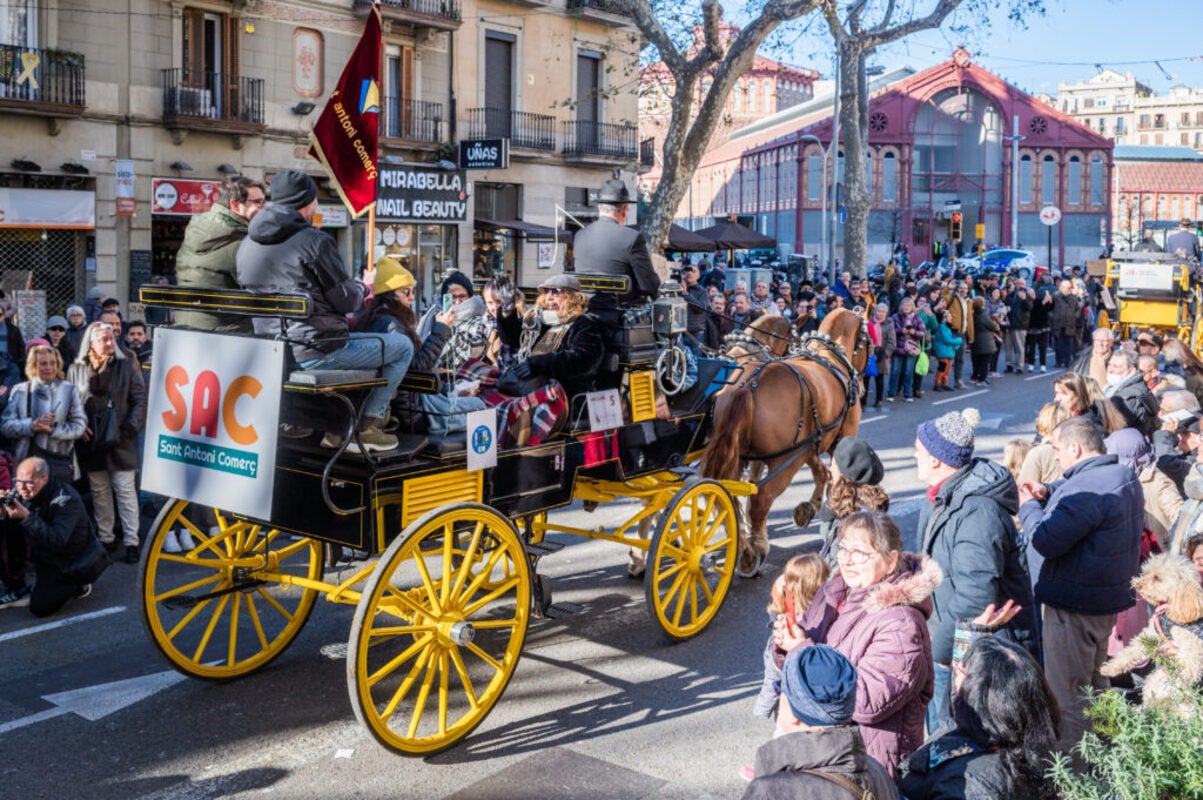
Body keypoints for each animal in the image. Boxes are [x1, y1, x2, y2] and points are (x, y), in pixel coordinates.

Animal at [702, 305, 870, 575]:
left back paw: (743, 545)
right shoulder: (837, 440)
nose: (863, 386)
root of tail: (746, 387)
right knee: (760, 500)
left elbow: (821, 471)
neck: (829, 355)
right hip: (784, 460)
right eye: (869, 342)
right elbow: (834, 477)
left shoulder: (807, 443)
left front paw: (809, 508)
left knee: (731, 499)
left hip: (737, 456)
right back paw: (755, 551)